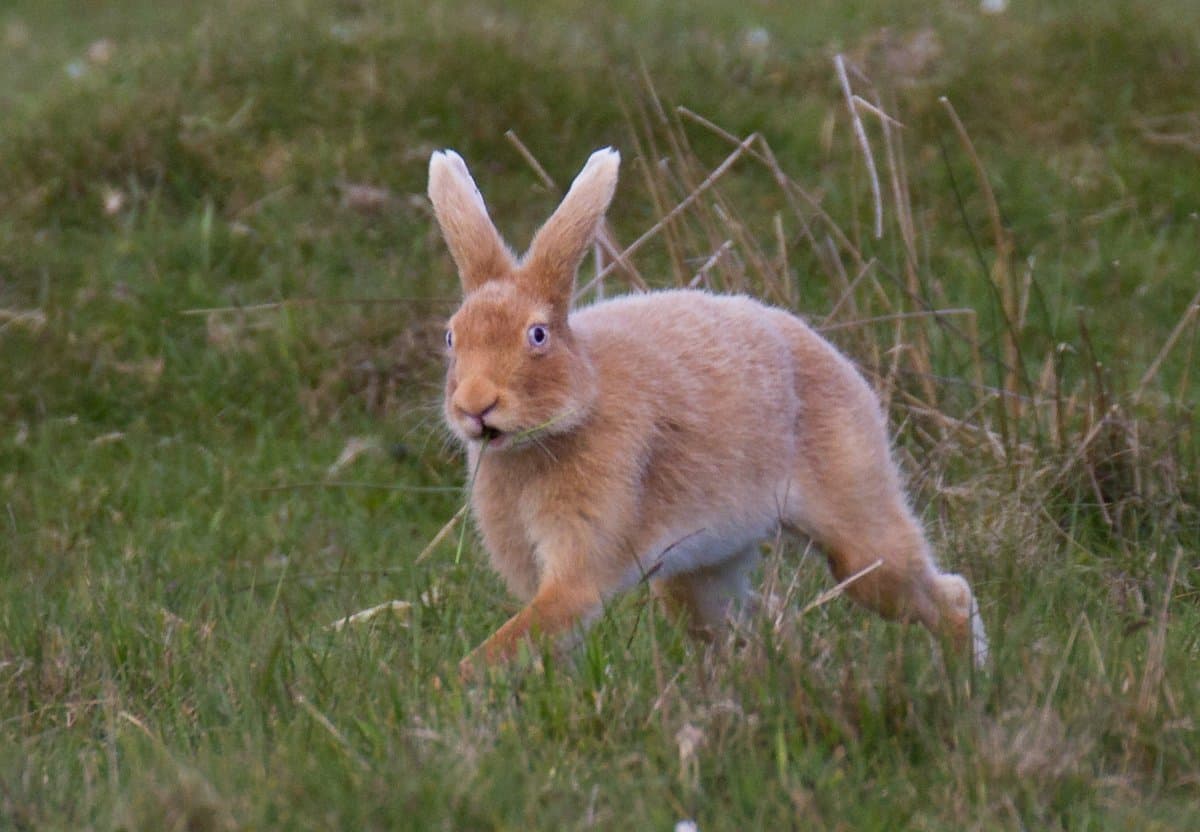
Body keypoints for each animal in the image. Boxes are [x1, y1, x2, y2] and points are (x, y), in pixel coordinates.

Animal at [427, 146, 988, 674]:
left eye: (538, 335)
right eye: (452, 336)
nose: (475, 405)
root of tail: (828, 356)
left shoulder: (579, 566)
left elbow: (525, 632)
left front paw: (455, 683)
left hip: (859, 532)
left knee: (942, 590)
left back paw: (969, 673)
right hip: (700, 573)